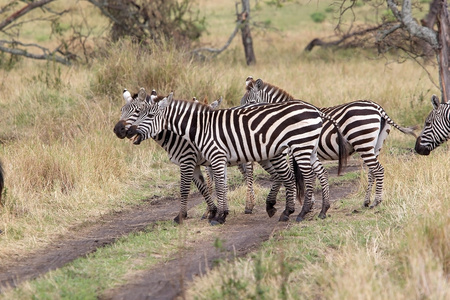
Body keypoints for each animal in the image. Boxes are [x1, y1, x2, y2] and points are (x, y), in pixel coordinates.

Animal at [126, 88, 348, 224]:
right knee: (319, 173)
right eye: (139, 113)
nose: (128, 132)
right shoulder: (218, 159)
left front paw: (217, 216)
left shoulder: (212, 157)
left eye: (149, 115)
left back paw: (301, 212)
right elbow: (220, 186)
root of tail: (315, 110)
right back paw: (321, 210)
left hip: (300, 146)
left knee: (307, 176)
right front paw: (221, 213)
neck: (201, 128)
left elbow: (213, 186)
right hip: (309, 147)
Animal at [243, 77, 418, 207]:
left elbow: (299, 176)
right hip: (375, 145)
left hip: (363, 142)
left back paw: (376, 201)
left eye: (250, 103)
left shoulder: (293, 150)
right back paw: (367, 201)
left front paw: (305, 201)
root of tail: (377, 107)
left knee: (378, 170)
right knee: (372, 171)